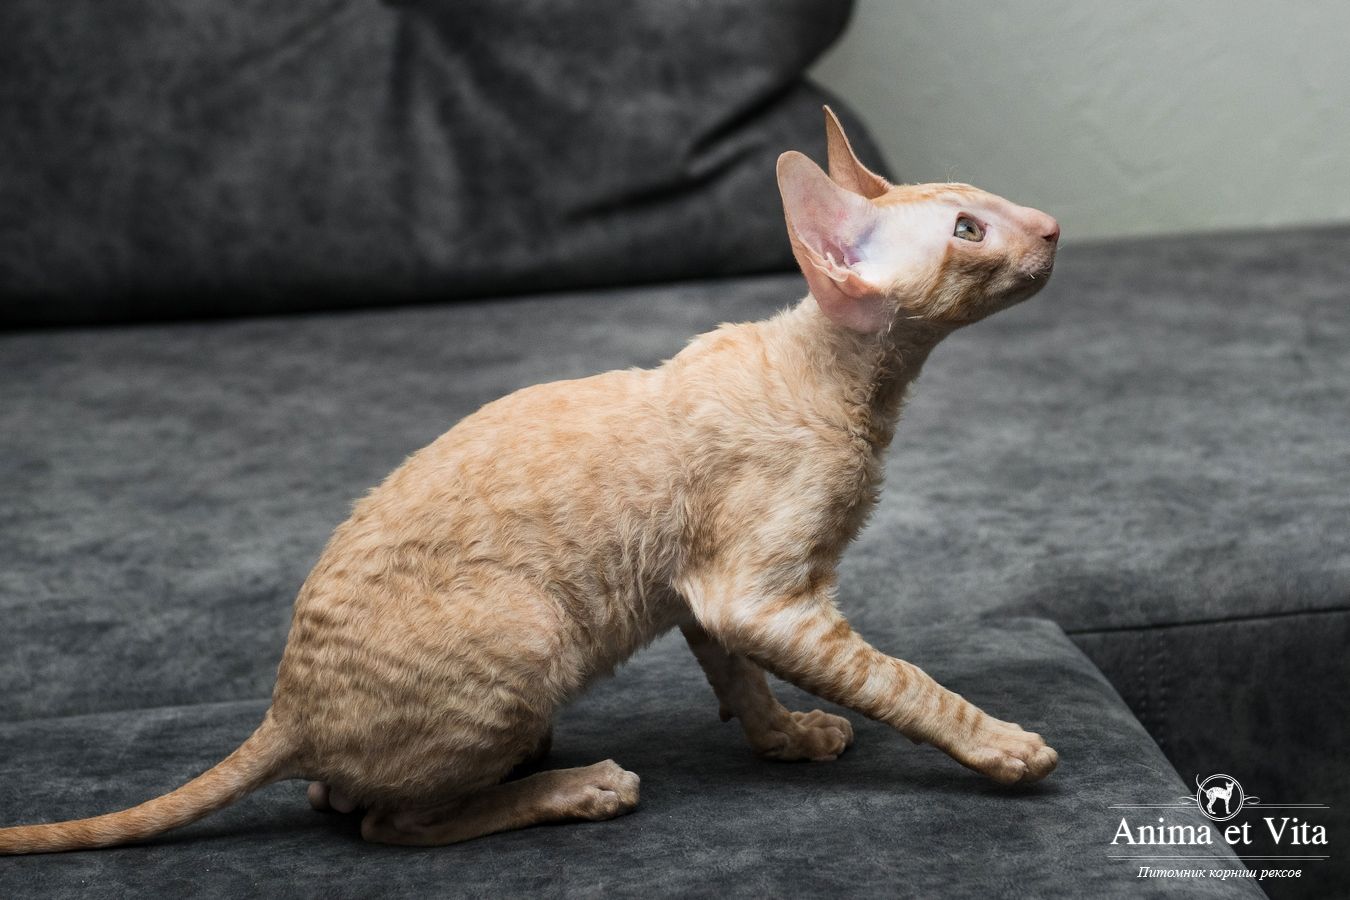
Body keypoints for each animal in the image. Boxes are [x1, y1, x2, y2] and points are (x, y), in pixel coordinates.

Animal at [0, 108, 1059, 853]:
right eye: (969, 230)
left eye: (987, 203)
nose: (1051, 225)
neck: (839, 375)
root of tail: (287, 711)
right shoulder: (762, 594)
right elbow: (897, 678)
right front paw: (1001, 747)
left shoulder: (703, 590)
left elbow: (735, 671)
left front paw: (786, 737)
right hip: (529, 630)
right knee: (391, 827)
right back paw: (573, 788)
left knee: (342, 794)